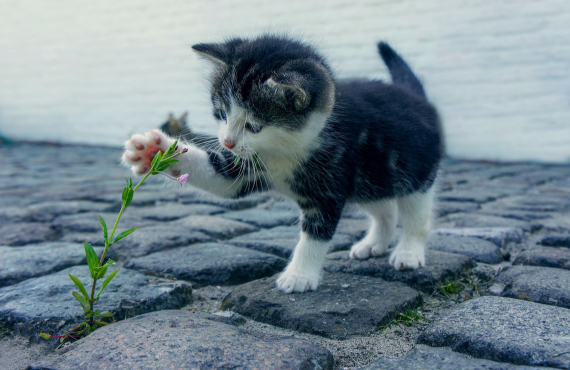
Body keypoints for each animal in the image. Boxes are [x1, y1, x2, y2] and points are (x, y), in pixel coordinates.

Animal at [123, 35, 444, 294]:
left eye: (254, 126)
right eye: (222, 114)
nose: (227, 142)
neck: (284, 150)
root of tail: (415, 96)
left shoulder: (329, 183)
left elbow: (316, 233)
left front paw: (299, 275)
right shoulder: (247, 166)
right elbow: (220, 177)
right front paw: (154, 151)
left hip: (414, 171)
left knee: (416, 214)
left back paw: (408, 252)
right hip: (370, 179)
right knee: (385, 208)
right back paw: (373, 243)